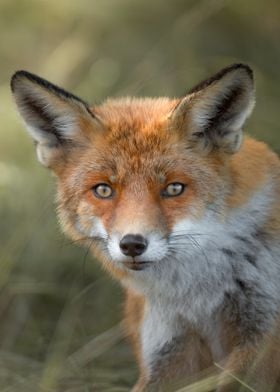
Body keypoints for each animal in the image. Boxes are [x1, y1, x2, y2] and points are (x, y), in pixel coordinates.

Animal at [10, 63, 280, 388]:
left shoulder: (261, 336)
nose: (132, 244)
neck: (199, 295)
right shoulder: (167, 346)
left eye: (174, 188)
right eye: (103, 190)